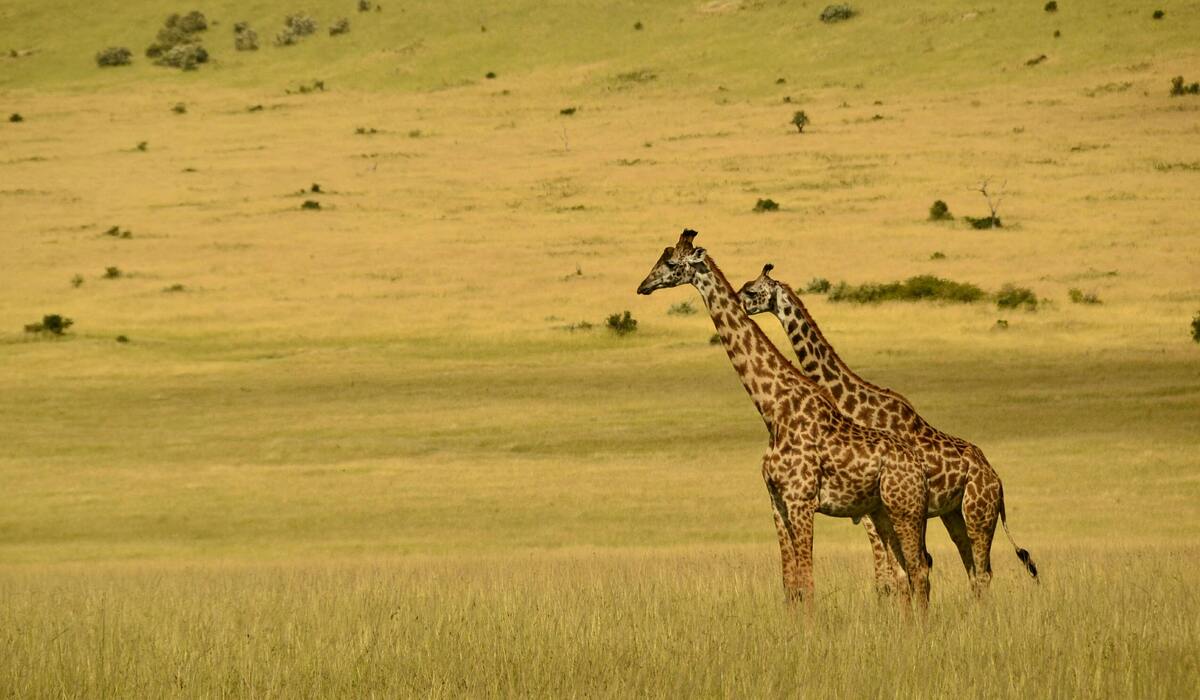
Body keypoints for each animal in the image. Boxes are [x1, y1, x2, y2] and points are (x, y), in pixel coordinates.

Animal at [636, 229, 932, 608]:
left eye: (671, 263)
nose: (643, 286)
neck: (774, 410)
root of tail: (918, 466)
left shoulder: (800, 499)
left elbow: (808, 583)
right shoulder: (776, 501)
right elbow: (791, 586)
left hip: (904, 510)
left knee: (918, 570)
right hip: (883, 512)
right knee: (905, 572)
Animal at [737, 264, 1038, 593]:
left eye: (751, 290)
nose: (739, 304)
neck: (854, 404)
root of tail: (997, 480)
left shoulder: (875, 507)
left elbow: (894, 575)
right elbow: (892, 575)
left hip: (977, 514)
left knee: (980, 570)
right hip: (952, 513)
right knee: (972, 567)